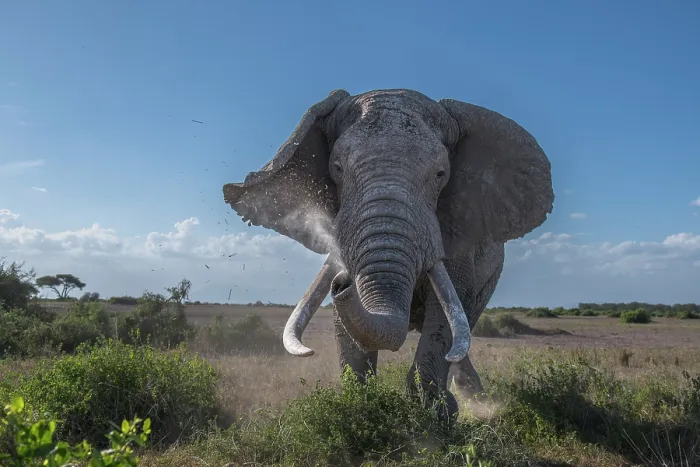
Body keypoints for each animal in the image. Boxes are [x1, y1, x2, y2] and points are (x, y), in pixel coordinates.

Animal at [223, 88, 553, 419]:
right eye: (337, 169)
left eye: (441, 174)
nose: (342, 284)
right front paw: (358, 407)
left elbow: (445, 312)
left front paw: (435, 413)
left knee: (464, 323)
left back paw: (472, 396)